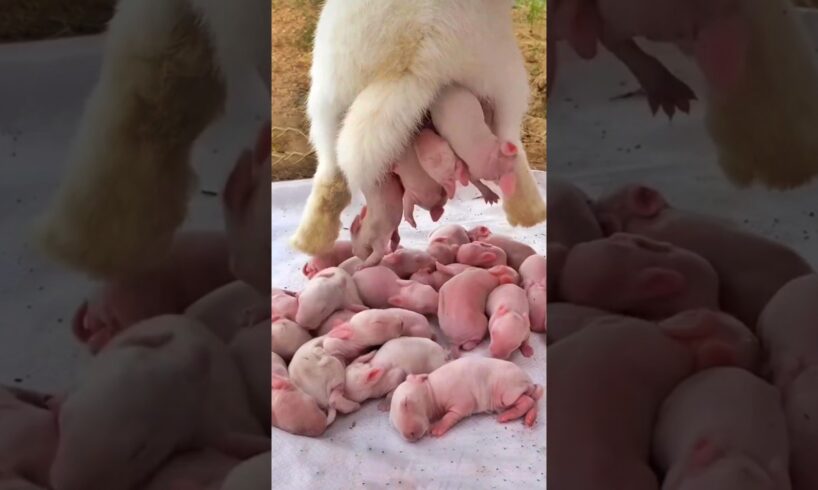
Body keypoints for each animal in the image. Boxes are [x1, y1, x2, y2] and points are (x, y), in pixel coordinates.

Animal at [388, 358, 540, 442]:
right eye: (394, 425)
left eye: (406, 403)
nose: (409, 435)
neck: (432, 389)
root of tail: (528, 381)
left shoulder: (460, 401)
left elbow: (453, 414)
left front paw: (438, 428)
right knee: (532, 401)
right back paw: (529, 418)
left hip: (506, 391)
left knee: (526, 401)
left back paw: (508, 415)